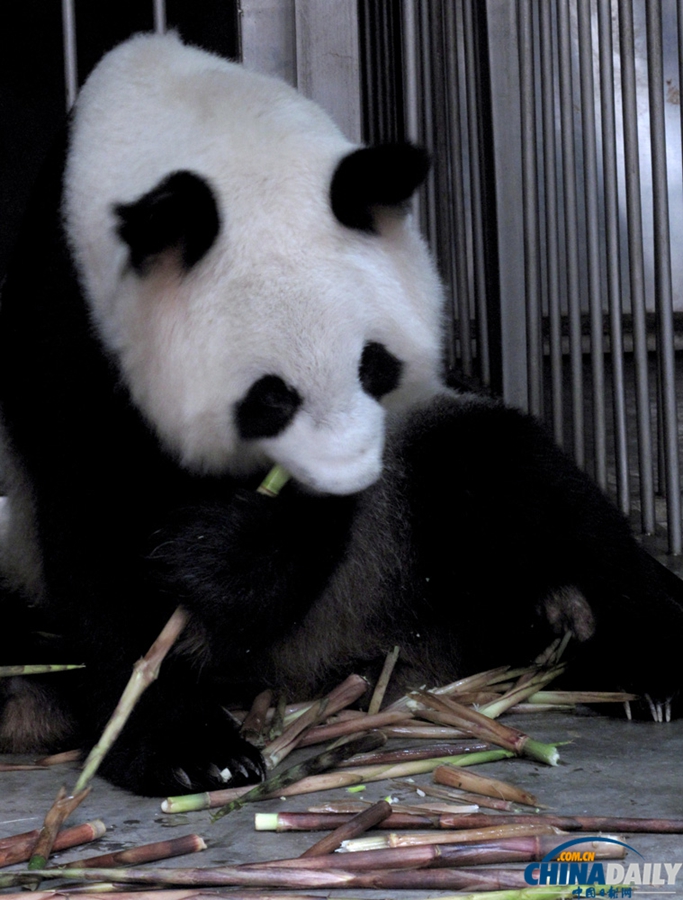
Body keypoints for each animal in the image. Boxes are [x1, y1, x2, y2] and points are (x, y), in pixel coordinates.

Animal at [1, 33, 683, 796]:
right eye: (271, 397)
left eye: (372, 364)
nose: (350, 475)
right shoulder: (70, 330)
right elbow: (94, 529)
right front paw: (188, 748)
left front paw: (218, 556)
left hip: (413, 521)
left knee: (520, 479)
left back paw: (640, 662)